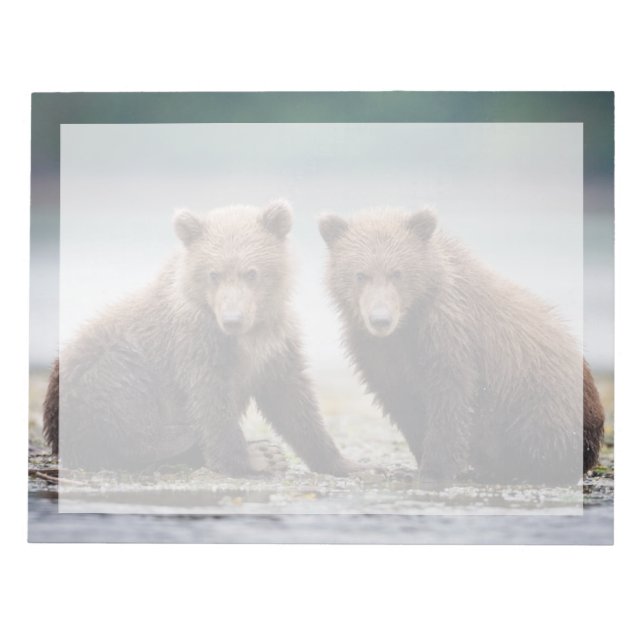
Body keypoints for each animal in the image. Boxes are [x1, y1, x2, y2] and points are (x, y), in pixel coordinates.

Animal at [43, 201, 358, 477]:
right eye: (213, 274)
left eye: (251, 272)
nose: (232, 319)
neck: (247, 334)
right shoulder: (195, 340)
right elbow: (211, 399)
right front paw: (250, 460)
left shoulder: (275, 341)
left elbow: (292, 398)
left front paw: (341, 462)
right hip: (101, 374)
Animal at [319, 207, 604, 485]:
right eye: (360, 274)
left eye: (397, 273)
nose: (380, 319)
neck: (408, 323)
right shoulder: (376, 351)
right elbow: (402, 401)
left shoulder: (450, 335)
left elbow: (450, 400)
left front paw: (434, 471)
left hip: (543, 397)